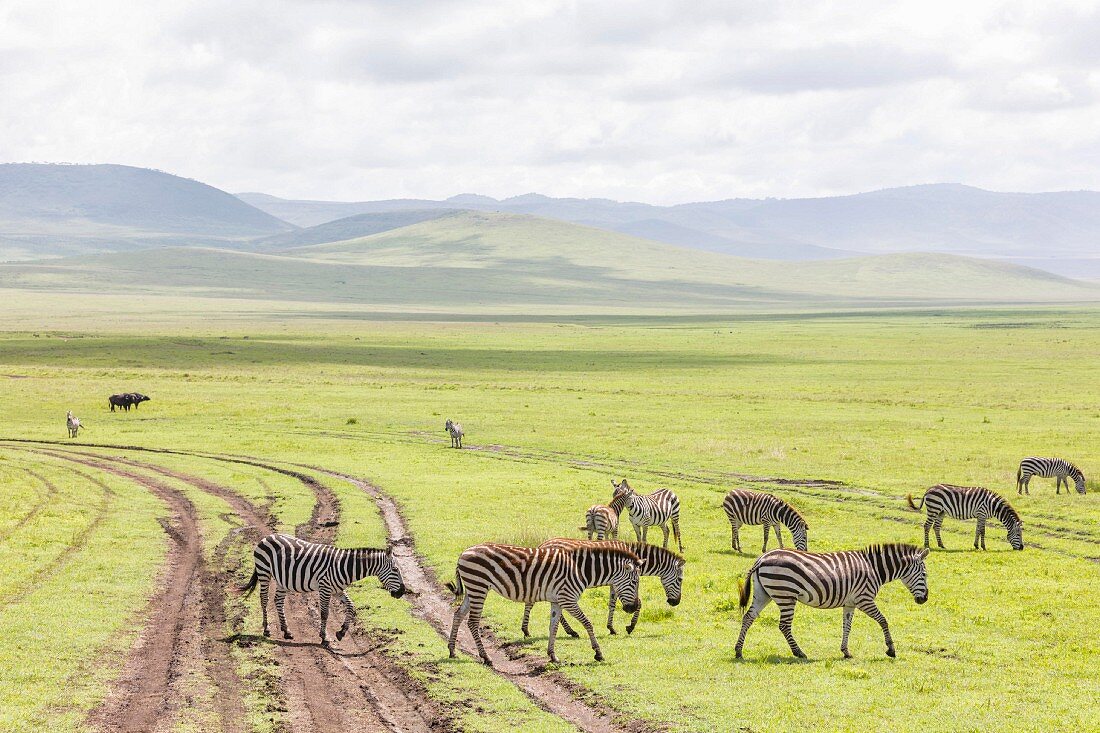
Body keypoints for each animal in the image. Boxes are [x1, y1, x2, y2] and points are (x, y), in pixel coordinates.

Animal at [242, 530, 409, 647]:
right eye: (395, 569)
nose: (402, 592)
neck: (344, 566)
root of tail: (268, 536)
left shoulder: (337, 590)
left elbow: (351, 606)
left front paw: (341, 632)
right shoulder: (325, 588)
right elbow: (324, 613)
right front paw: (324, 637)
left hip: (283, 580)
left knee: (278, 601)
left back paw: (286, 631)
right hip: (264, 571)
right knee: (264, 599)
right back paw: (267, 629)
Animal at [442, 537, 642, 660]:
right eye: (634, 582)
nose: (632, 608)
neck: (580, 569)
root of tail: (464, 553)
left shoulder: (557, 601)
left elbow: (553, 626)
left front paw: (552, 655)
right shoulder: (568, 599)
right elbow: (587, 623)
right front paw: (598, 653)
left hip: (473, 589)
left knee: (458, 615)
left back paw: (452, 651)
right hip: (479, 587)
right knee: (472, 622)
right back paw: (485, 657)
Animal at [519, 537, 682, 633]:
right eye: (680, 580)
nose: (675, 603)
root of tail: (543, 544)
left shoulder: (616, 582)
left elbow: (612, 603)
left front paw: (611, 627)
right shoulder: (620, 581)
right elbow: (637, 602)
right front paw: (629, 627)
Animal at [734, 539, 932, 660]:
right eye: (924, 574)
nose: (924, 599)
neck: (874, 569)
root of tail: (762, 558)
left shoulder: (850, 603)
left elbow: (847, 627)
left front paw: (846, 651)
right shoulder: (864, 599)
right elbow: (883, 620)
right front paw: (891, 649)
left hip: (764, 594)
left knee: (748, 617)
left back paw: (738, 651)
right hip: (786, 595)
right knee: (784, 626)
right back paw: (799, 652)